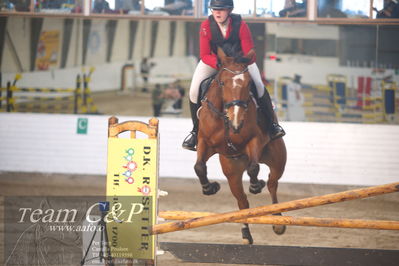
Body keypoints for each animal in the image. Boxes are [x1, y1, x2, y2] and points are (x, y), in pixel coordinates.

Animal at [195, 47, 286, 243]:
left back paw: (278, 221)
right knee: (242, 201)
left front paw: (255, 185)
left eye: (249, 84)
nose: (236, 121)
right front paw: (209, 188)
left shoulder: (254, 140)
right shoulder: (204, 142)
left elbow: (253, 168)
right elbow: (199, 167)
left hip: (277, 160)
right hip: (232, 172)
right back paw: (246, 234)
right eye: (222, 83)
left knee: (272, 183)